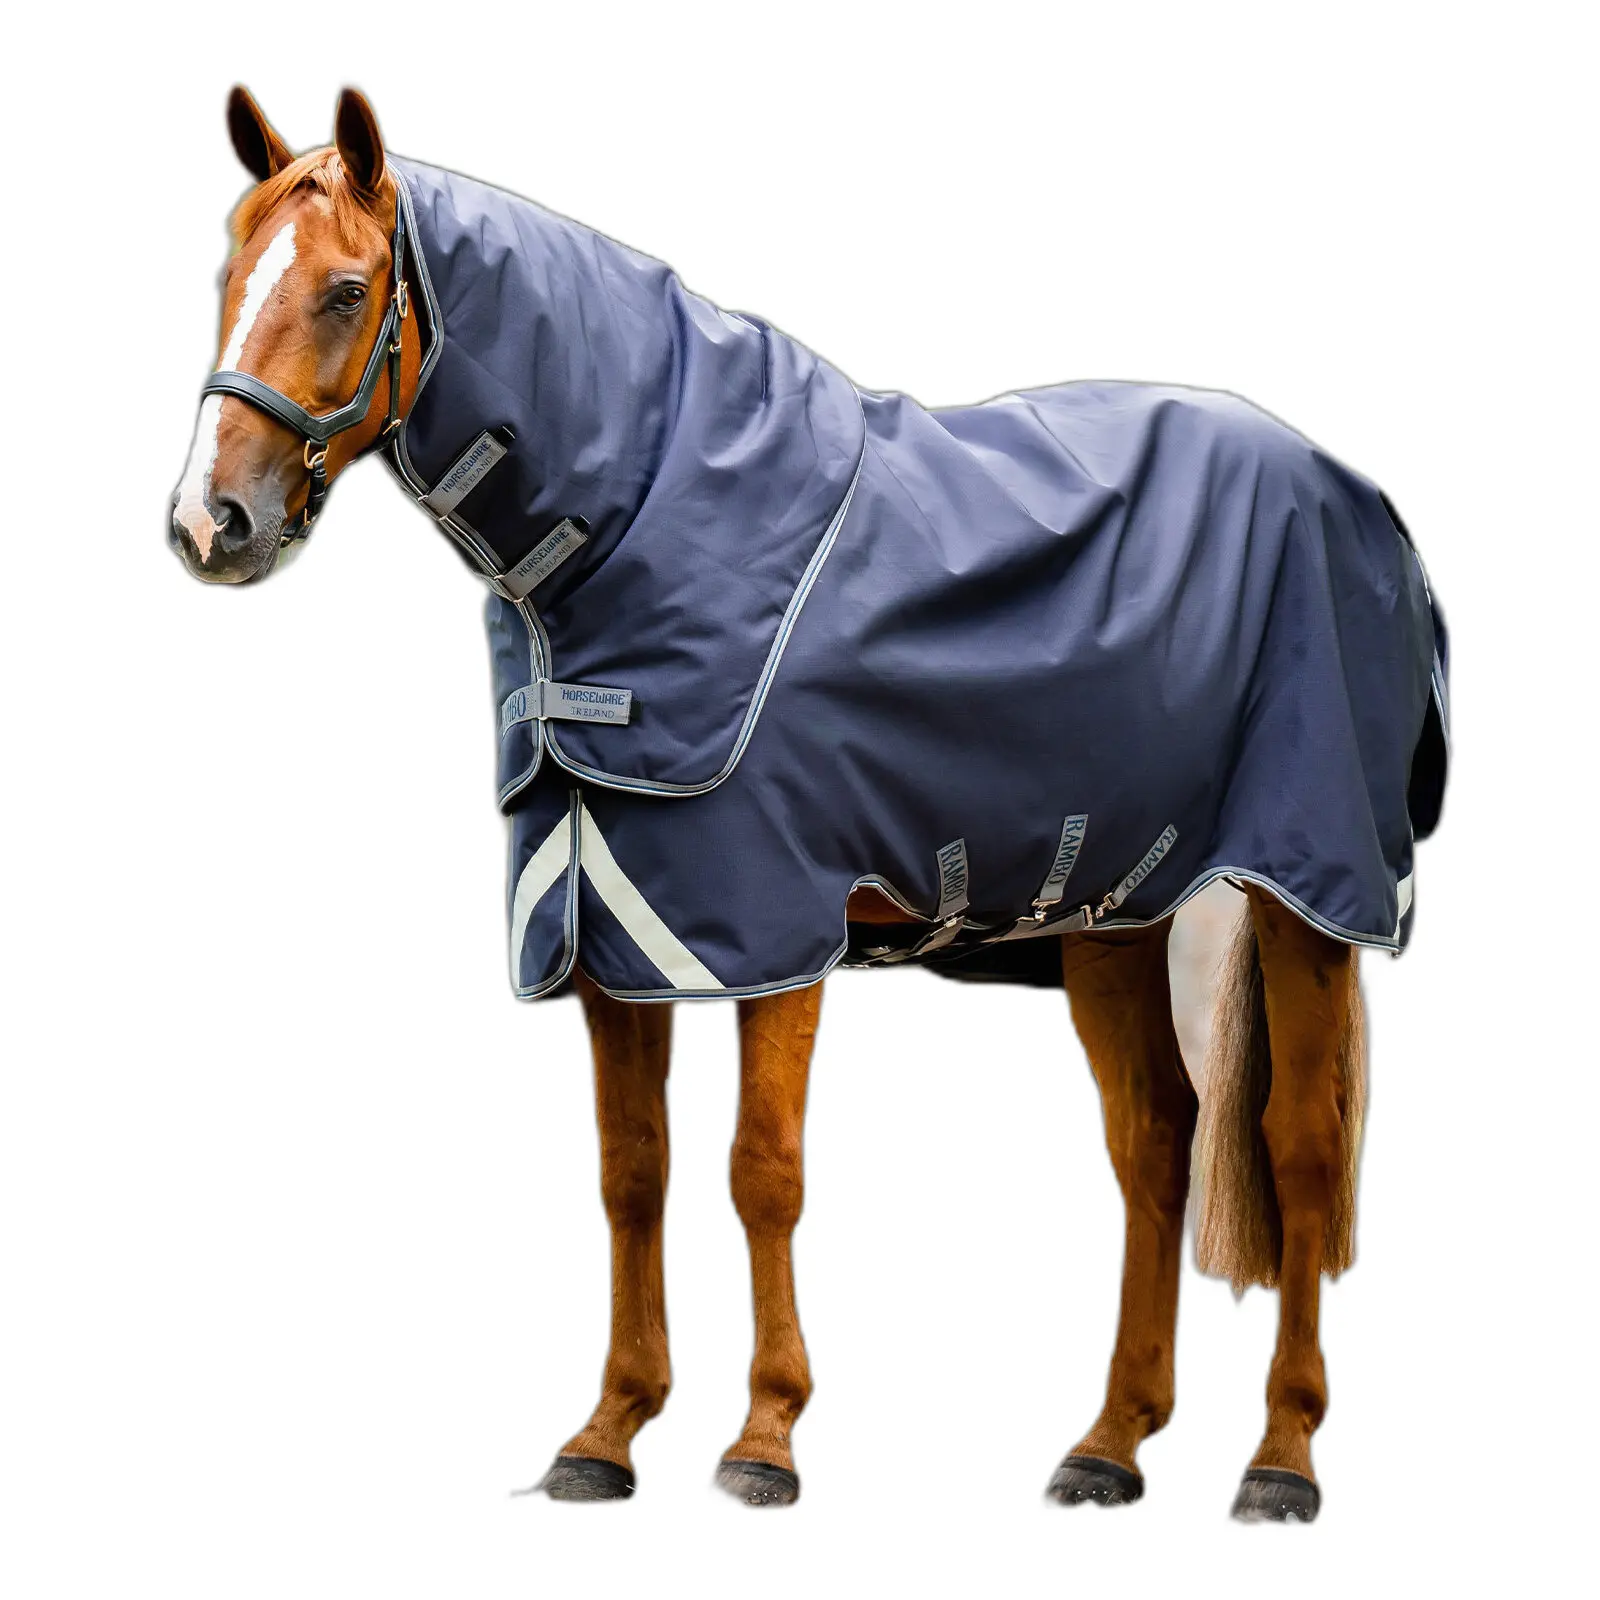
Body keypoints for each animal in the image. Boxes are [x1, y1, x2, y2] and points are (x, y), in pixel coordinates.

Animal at [170, 86, 1448, 1521]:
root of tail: (1359, 498)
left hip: (1309, 895)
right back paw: (1109, 1444)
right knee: (1155, 1143)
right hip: (1115, 917)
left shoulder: (772, 930)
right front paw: (606, 1433)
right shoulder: (611, 932)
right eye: (229, 278)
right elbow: (634, 1171)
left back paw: (1281, 1459)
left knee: (1300, 1148)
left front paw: (763, 1438)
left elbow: (759, 1170)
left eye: (344, 290)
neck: (638, 537)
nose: (211, 522)